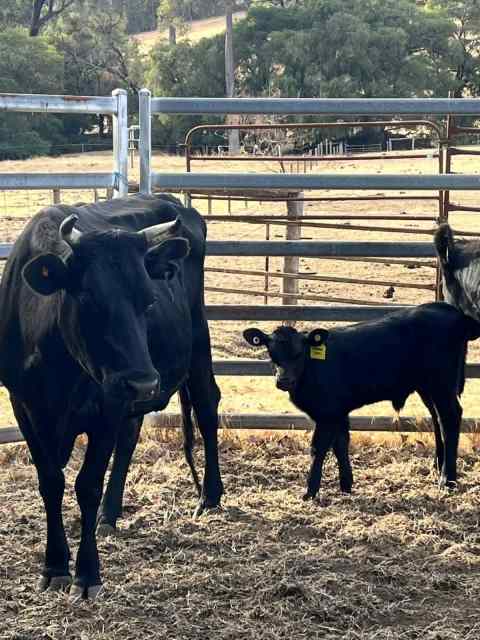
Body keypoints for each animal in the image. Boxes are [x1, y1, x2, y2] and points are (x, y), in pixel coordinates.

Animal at [0, 194, 224, 600]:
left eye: (148, 300)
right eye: (89, 298)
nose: (143, 382)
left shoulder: (106, 404)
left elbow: (87, 484)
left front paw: (87, 573)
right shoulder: (23, 405)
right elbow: (50, 481)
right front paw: (54, 566)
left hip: (198, 341)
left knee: (206, 407)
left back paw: (209, 496)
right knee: (131, 436)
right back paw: (110, 513)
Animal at [244, 302, 480, 502]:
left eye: (299, 353)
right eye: (271, 353)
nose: (283, 380)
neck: (313, 367)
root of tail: (449, 310)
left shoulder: (327, 413)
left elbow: (318, 448)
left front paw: (310, 491)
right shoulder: (338, 411)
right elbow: (340, 444)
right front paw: (346, 485)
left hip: (442, 385)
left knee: (450, 418)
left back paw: (447, 479)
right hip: (427, 388)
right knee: (438, 420)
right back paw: (437, 467)